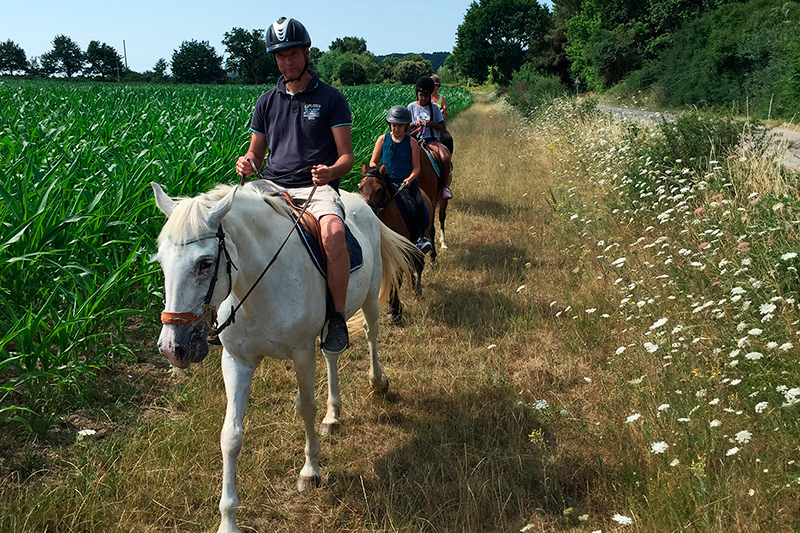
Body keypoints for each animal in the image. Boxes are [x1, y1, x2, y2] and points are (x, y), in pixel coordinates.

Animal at [150, 181, 418, 528]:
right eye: (160, 262)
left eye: (205, 263)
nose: (173, 347)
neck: (258, 283)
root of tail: (361, 201)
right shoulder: (237, 361)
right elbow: (230, 435)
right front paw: (228, 520)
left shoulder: (302, 353)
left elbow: (305, 408)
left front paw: (310, 472)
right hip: (331, 325)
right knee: (332, 354)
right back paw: (333, 415)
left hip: (370, 298)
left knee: (372, 333)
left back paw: (378, 384)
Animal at [358, 162, 432, 320]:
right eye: (360, 187)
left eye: (379, 189)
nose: (367, 209)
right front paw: (392, 309)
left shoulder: (397, 251)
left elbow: (396, 278)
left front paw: (396, 311)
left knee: (418, 264)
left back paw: (418, 292)